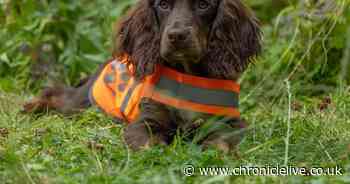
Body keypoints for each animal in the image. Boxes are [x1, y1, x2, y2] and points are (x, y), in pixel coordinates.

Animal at [23, 0, 260, 152]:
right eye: (163, 5)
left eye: (204, 5)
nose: (177, 36)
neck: (187, 76)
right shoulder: (146, 120)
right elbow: (148, 145)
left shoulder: (231, 122)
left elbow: (221, 141)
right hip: (81, 104)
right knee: (55, 93)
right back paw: (30, 106)